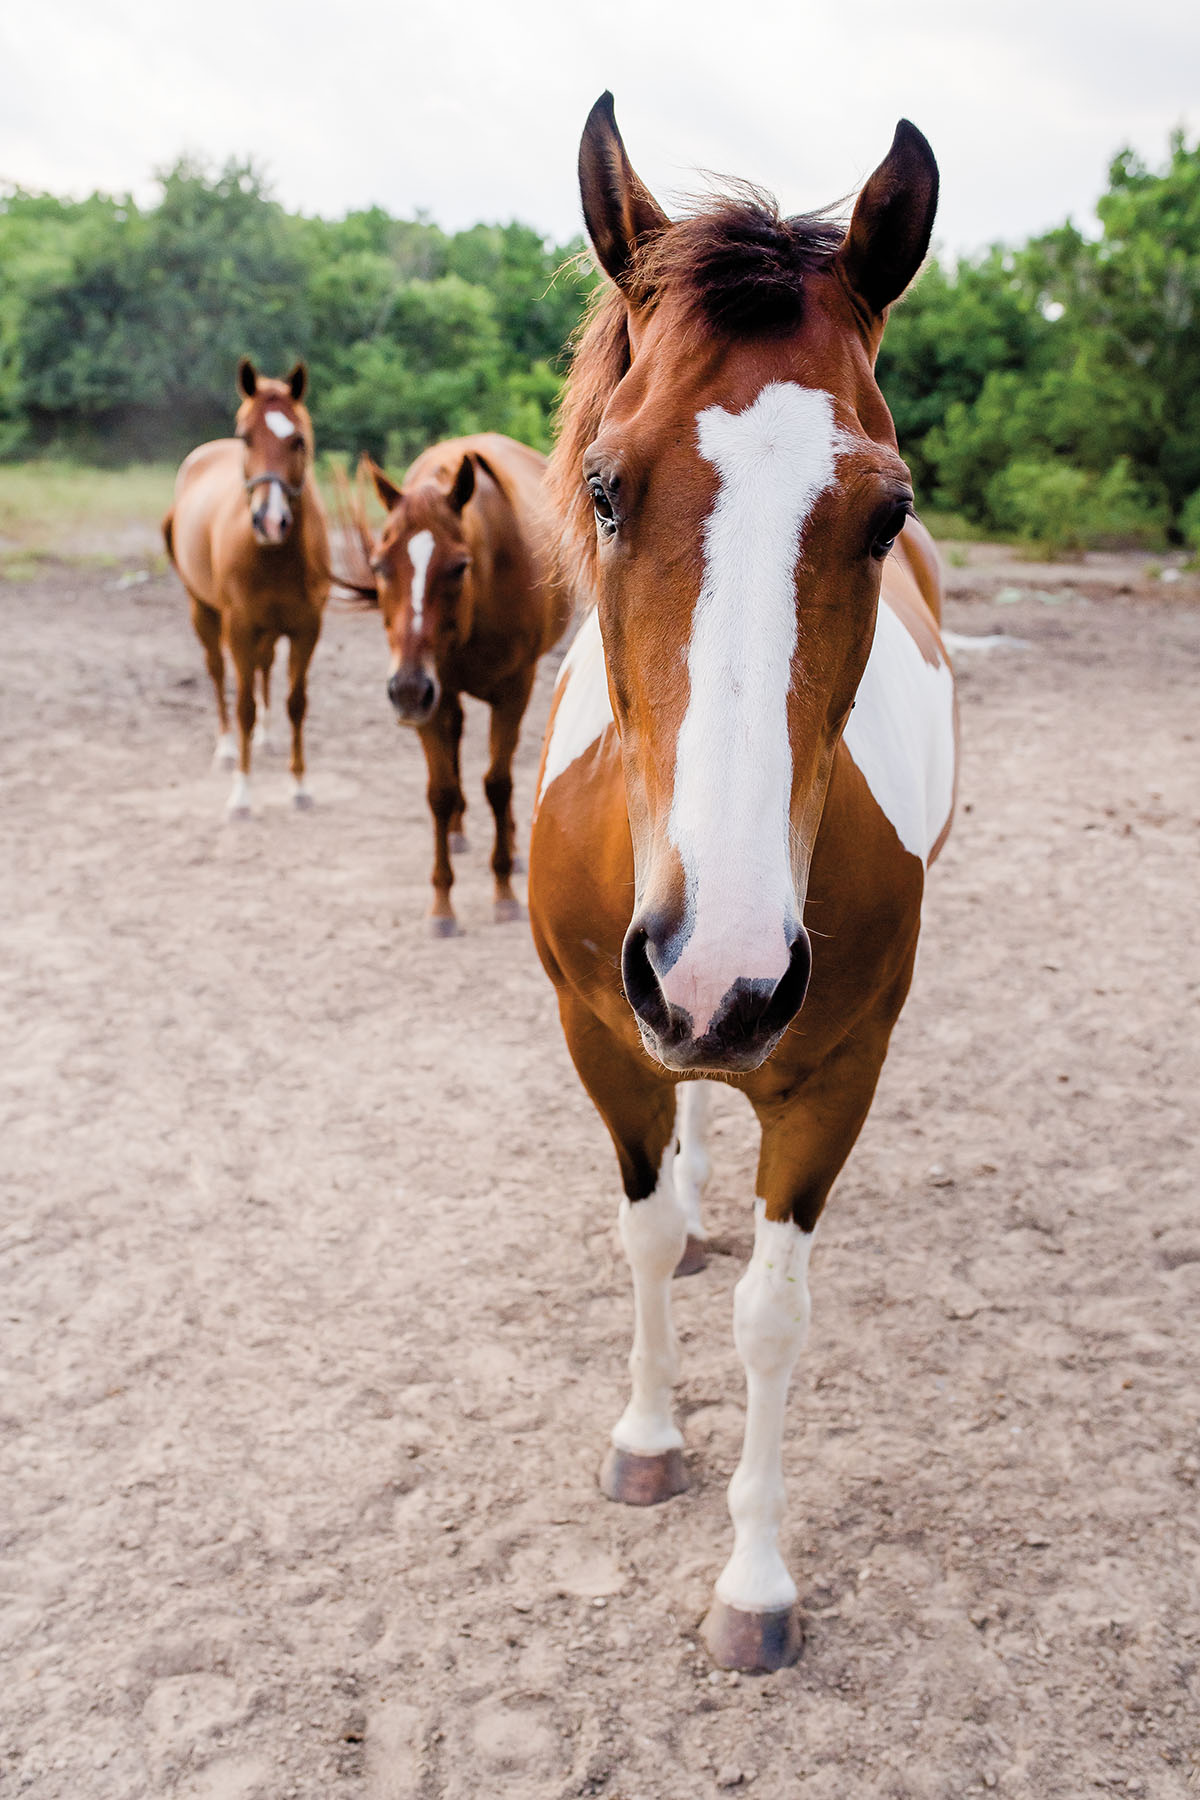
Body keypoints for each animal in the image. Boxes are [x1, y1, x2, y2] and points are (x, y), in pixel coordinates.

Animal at [164, 358, 331, 817]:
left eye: (298, 440)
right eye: (246, 437)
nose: (270, 520)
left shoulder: (307, 629)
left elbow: (296, 704)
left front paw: (300, 786)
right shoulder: (239, 628)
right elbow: (244, 706)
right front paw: (241, 793)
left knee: (264, 668)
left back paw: (266, 739)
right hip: (204, 612)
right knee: (219, 673)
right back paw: (225, 749)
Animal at [359, 437, 572, 936]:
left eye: (458, 567)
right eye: (379, 565)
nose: (406, 690)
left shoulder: (513, 690)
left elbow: (498, 783)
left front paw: (504, 890)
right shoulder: (431, 698)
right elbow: (440, 791)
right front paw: (441, 904)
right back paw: (456, 833)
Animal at [528, 98, 957, 1670]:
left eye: (886, 512)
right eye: (605, 486)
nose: (719, 969)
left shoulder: (838, 1067)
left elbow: (779, 1317)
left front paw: (756, 1582)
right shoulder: (602, 1032)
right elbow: (645, 1231)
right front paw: (647, 1441)